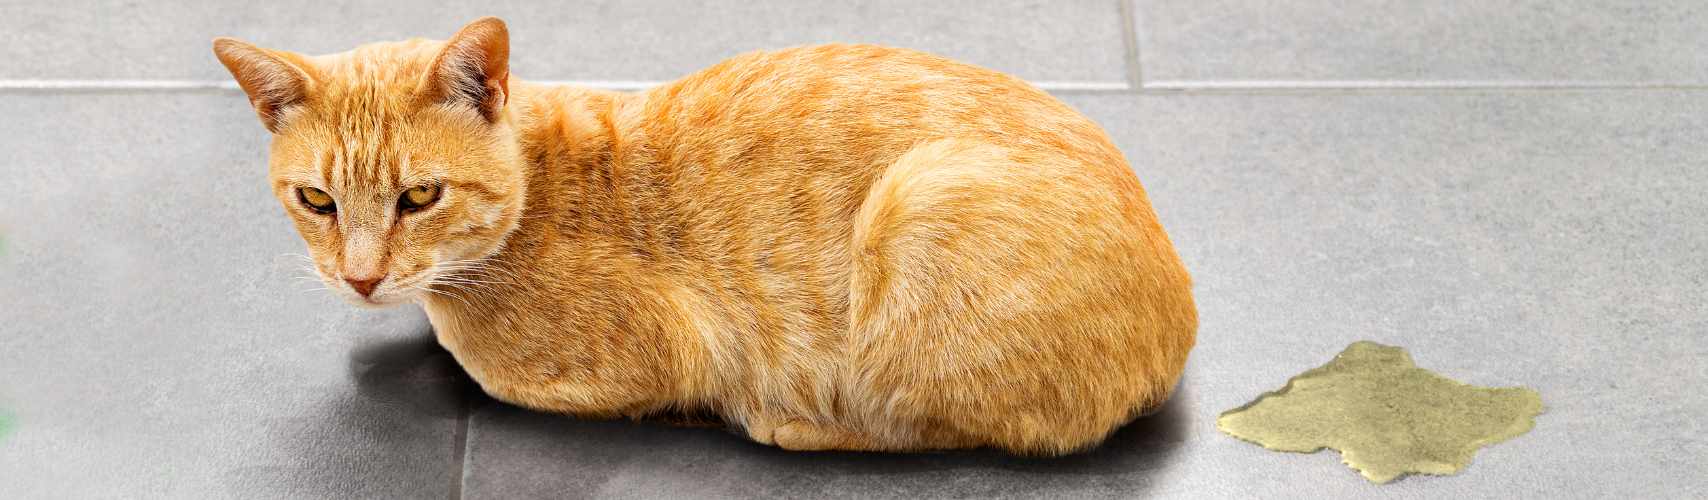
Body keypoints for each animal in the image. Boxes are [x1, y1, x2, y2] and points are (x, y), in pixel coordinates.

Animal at [214, 17, 1196, 455]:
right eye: (316, 200)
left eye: (419, 195)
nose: (360, 279)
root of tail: (1181, 317)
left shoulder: (654, 355)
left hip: (920, 205)